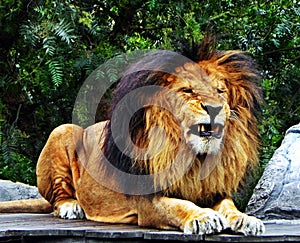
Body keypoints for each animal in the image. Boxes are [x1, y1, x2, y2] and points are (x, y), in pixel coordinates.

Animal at [0, 38, 264, 235]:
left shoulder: (214, 190)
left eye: (220, 91)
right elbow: (178, 205)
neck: (191, 154)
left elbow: (229, 205)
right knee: (58, 199)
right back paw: (71, 207)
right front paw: (204, 216)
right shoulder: (148, 201)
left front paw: (246, 219)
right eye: (187, 90)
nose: (215, 108)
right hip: (63, 130)